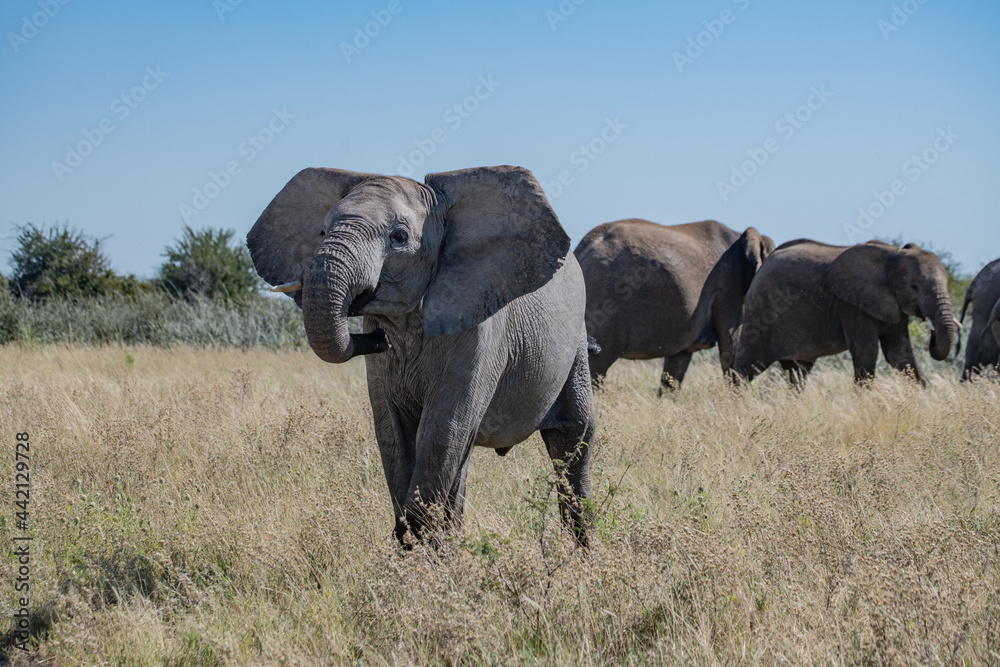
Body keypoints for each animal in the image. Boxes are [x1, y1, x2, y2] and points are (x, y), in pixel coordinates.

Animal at [247, 165, 596, 546]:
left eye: (399, 237)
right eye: (322, 231)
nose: (376, 340)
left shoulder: (481, 331)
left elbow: (443, 428)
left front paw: (415, 543)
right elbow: (391, 430)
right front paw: (414, 547)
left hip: (576, 345)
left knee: (572, 439)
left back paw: (583, 551)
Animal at [574, 219, 774, 391]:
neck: (738, 234)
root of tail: (581, 251)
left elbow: (677, 364)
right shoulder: (727, 284)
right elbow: (730, 344)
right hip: (605, 307)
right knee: (597, 367)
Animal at [732, 239, 958, 387]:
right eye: (914, 287)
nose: (932, 335)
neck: (893, 254)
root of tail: (763, 266)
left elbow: (901, 355)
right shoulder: (851, 305)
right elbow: (867, 352)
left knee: (797, 372)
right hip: (762, 310)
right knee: (746, 368)